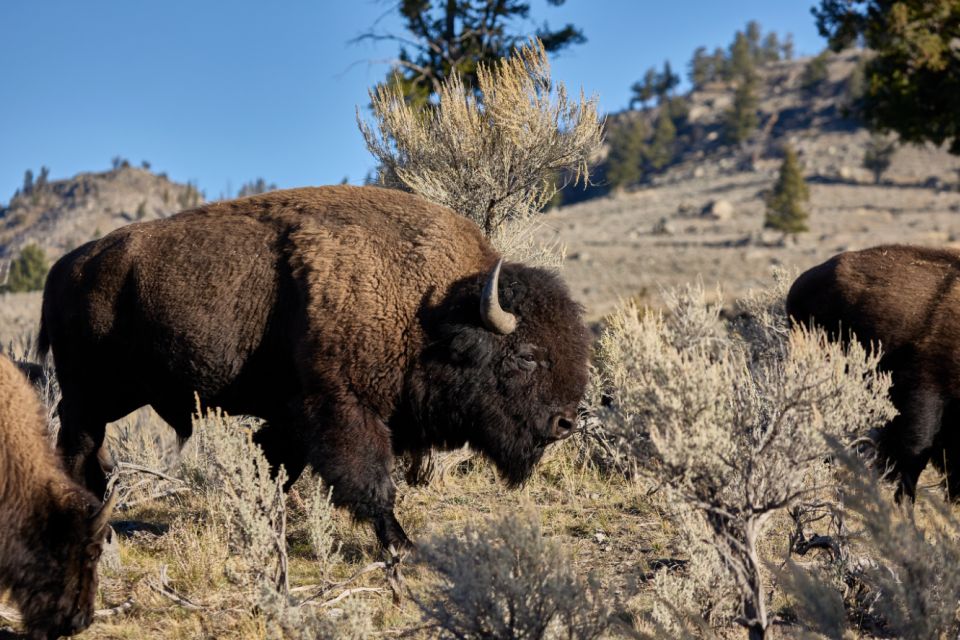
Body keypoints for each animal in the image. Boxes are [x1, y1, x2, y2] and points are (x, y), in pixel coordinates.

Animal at [41, 185, 592, 552]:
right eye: (526, 355)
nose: (566, 422)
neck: (431, 309)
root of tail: (64, 268)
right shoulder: (344, 408)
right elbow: (370, 480)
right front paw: (401, 545)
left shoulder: (292, 418)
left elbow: (274, 467)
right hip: (94, 394)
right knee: (77, 446)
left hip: (113, 395)